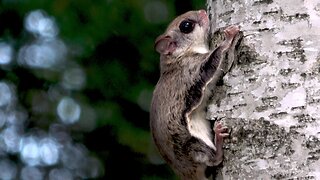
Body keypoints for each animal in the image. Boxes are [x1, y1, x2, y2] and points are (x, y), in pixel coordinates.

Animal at [151, 9, 240, 179]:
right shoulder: (193, 69)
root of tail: (187, 173)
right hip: (192, 144)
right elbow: (214, 59)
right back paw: (218, 140)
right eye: (186, 26)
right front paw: (228, 38)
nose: (203, 11)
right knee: (214, 159)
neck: (180, 57)